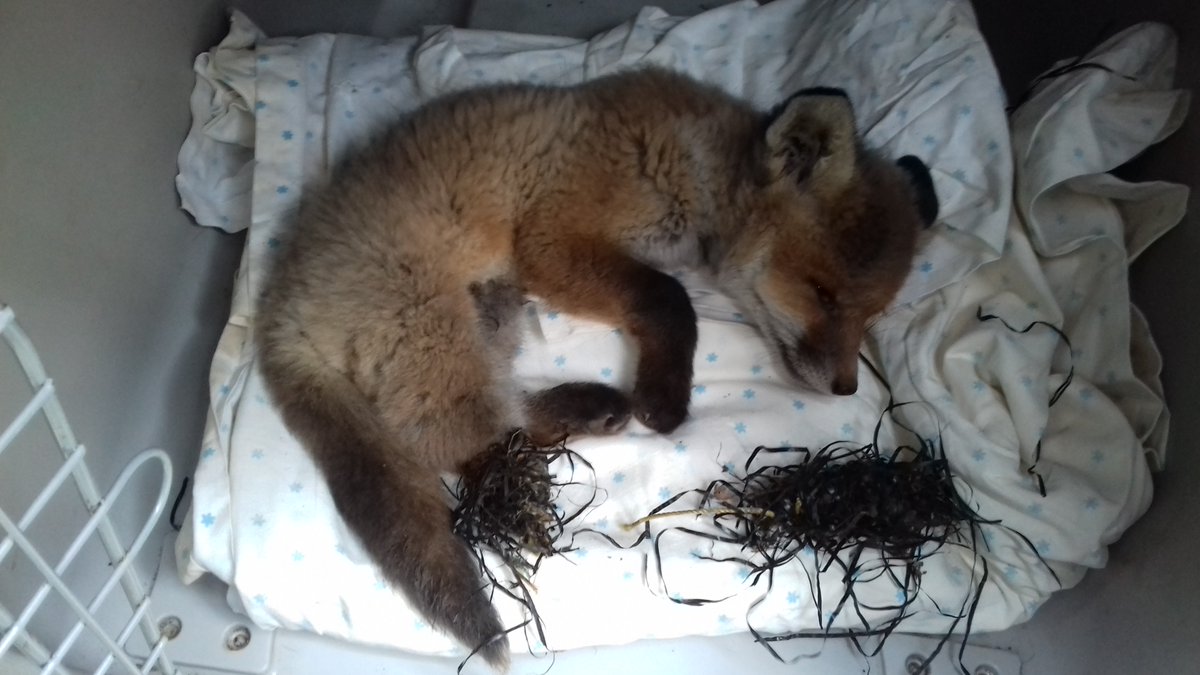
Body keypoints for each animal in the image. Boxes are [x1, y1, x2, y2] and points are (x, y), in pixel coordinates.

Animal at [255, 67, 937, 668]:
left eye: (870, 315)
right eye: (823, 294)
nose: (846, 386)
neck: (691, 164)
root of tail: (277, 306)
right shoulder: (553, 241)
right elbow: (670, 298)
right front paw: (664, 400)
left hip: (494, 313)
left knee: (496, 414)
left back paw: (588, 408)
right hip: (442, 333)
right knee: (450, 441)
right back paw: (577, 430)